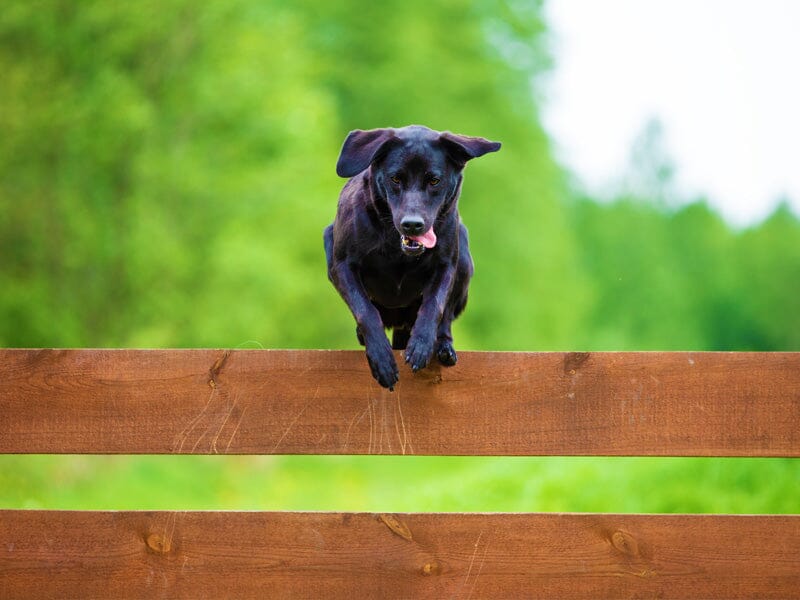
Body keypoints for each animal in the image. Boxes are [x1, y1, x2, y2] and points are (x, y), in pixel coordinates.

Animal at [324, 124, 500, 392]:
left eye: (434, 180)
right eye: (395, 178)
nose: (412, 224)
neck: (397, 248)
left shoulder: (446, 265)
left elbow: (434, 306)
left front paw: (421, 345)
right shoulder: (342, 265)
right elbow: (365, 310)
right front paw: (382, 359)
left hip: (464, 259)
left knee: (446, 318)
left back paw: (443, 346)